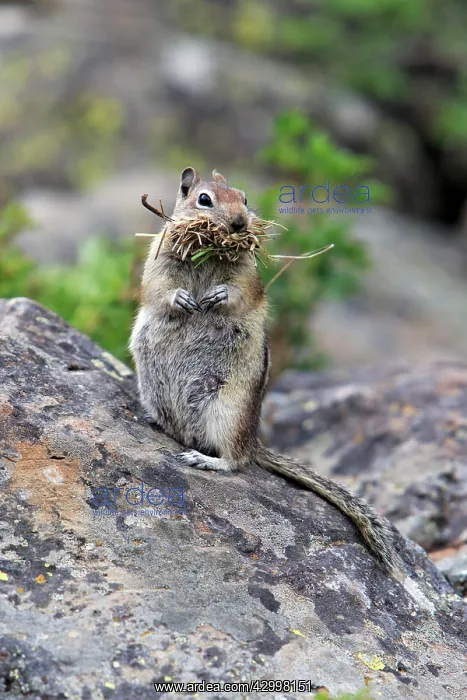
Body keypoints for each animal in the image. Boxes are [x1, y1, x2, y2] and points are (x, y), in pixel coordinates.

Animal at [130, 167, 402, 574]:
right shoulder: (158, 259)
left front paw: (218, 296)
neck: (206, 256)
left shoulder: (247, 277)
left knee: (236, 462)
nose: (240, 223)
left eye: (244, 198)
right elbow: (158, 288)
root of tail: (253, 439)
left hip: (227, 410)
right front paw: (183, 298)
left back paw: (203, 459)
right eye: (204, 199)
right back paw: (159, 422)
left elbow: (241, 292)